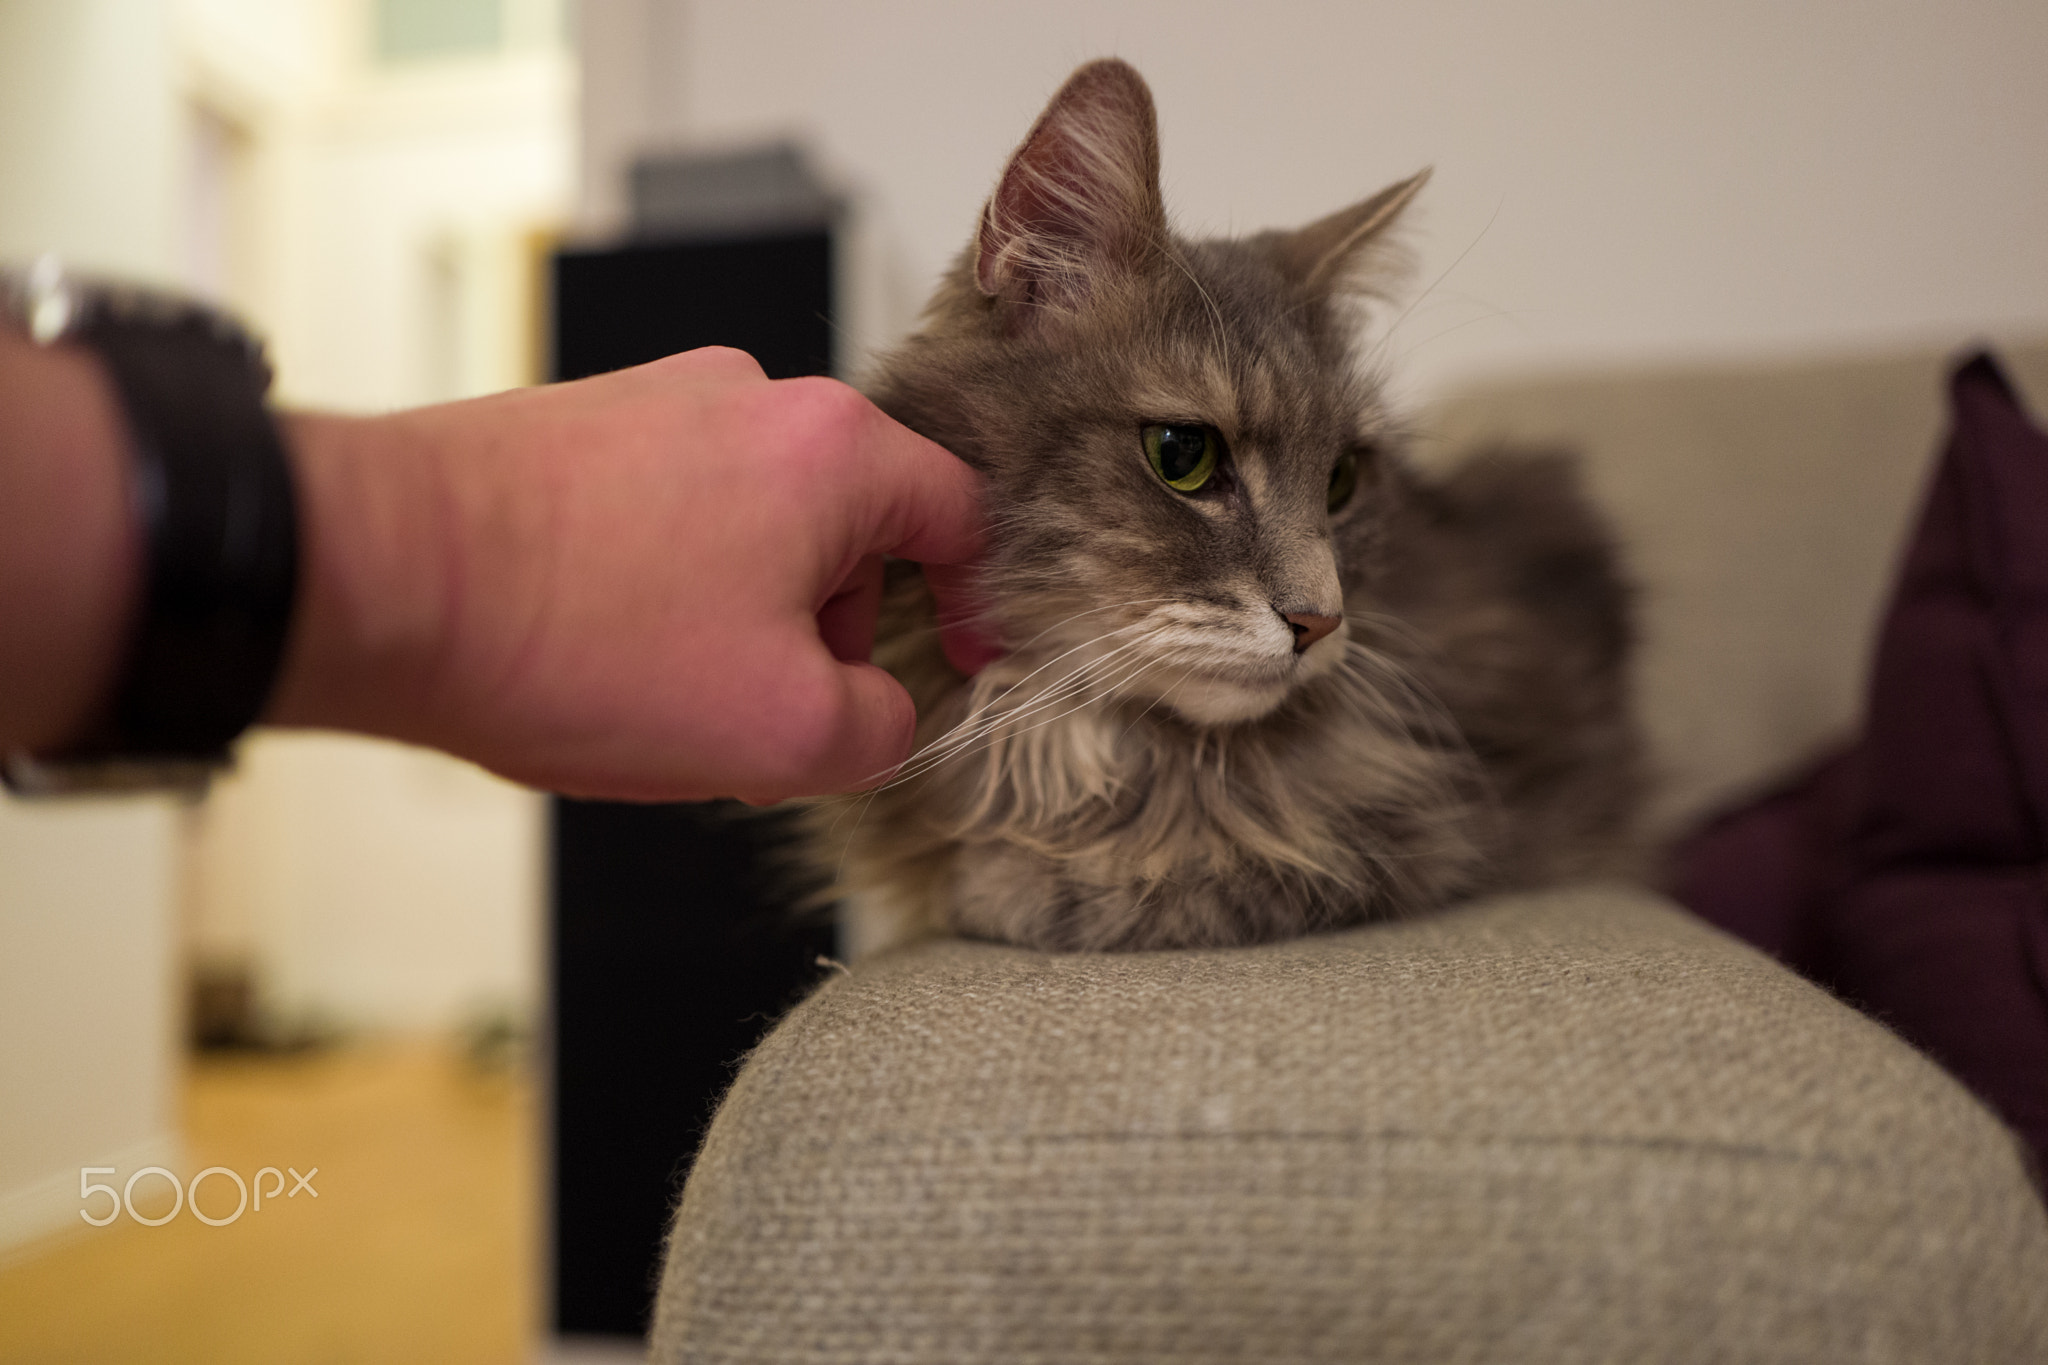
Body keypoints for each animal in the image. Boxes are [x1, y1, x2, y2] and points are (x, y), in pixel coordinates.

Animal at [815, 61, 1630, 949]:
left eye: (1342, 480)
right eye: (1183, 456)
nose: (1321, 622)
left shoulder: (1441, 826)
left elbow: (1239, 871)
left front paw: (1007, 884)